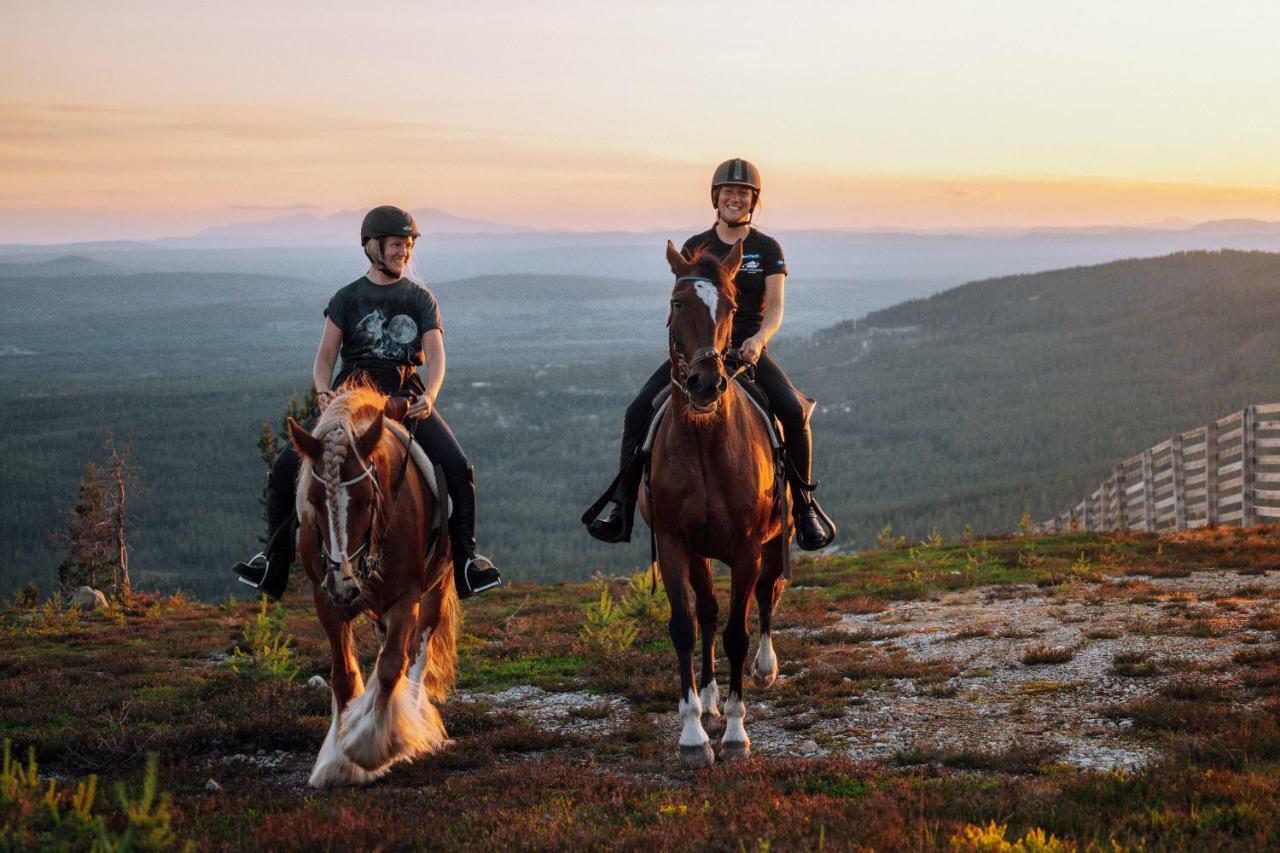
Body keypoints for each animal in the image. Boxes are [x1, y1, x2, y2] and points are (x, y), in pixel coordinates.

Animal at [286, 384, 460, 783]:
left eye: (366, 500)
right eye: (313, 499)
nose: (344, 584)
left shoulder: (407, 597)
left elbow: (393, 664)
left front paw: (368, 748)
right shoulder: (325, 601)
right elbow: (343, 675)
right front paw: (338, 761)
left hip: (436, 587)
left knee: (418, 654)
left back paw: (414, 722)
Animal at [645, 236, 783, 763]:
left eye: (731, 307)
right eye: (676, 302)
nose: (707, 384)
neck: (706, 443)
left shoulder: (746, 548)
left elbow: (738, 633)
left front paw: (737, 734)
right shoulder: (673, 544)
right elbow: (686, 625)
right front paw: (693, 735)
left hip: (777, 537)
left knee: (769, 592)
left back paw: (766, 667)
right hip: (701, 552)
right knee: (706, 611)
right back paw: (707, 699)